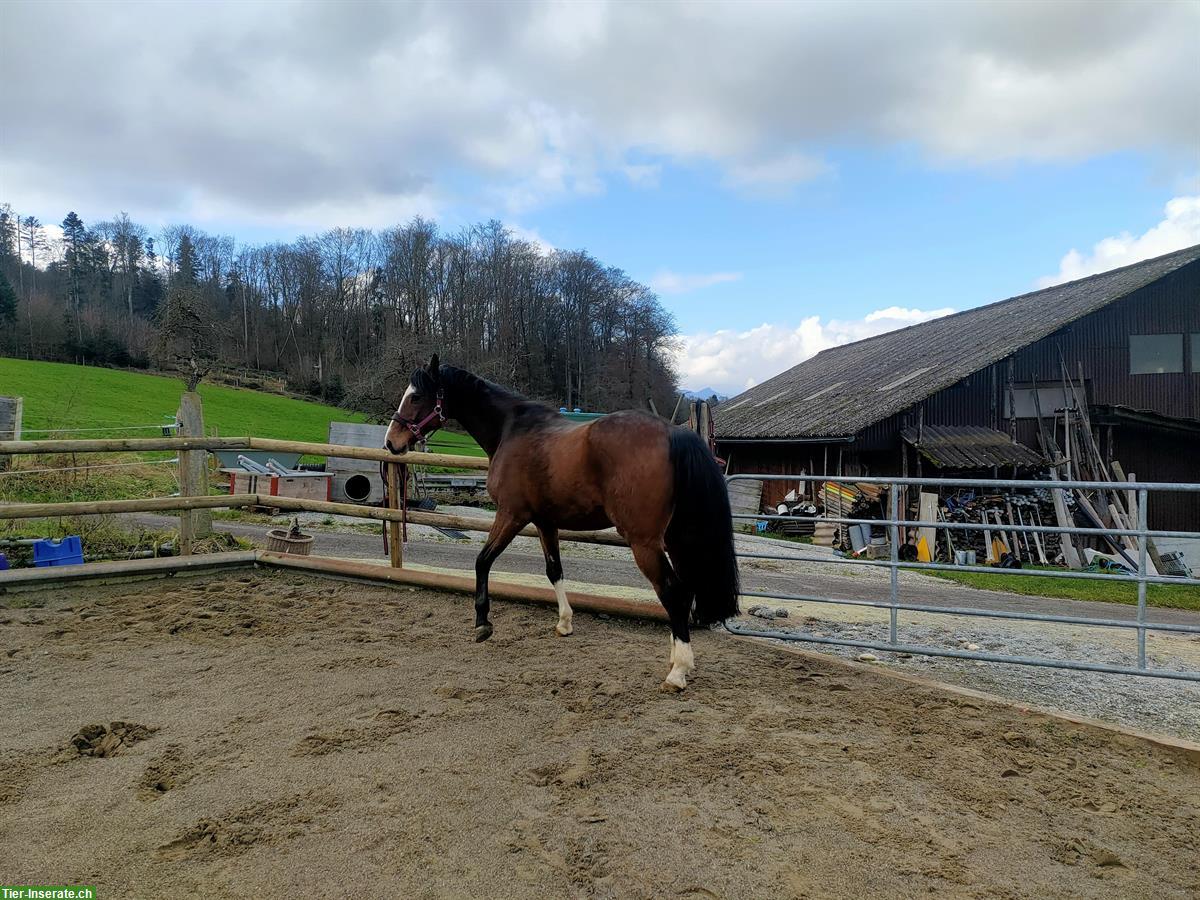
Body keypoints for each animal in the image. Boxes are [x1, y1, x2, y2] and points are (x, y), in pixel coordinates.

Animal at [386, 355, 739, 696]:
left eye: (416, 396)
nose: (391, 442)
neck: (512, 430)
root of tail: (673, 433)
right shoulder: (545, 522)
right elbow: (553, 569)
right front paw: (565, 623)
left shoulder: (511, 515)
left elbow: (482, 561)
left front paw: (482, 623)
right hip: (677, 539)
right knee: (685, 589)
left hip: (644, 543)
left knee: (672, 591)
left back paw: (677, 671)